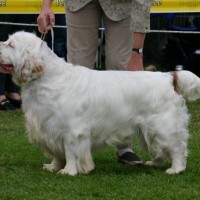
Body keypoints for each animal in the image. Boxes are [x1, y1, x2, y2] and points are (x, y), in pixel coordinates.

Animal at [0, 31, 200, 175]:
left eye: (11, 44)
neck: (48, 79)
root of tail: (169, 77)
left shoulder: (72, 131)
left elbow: (70, 152)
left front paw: (68, 171)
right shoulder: (50, 128)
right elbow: (58, 153)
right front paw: (54, 167)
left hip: (163, 126)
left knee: (177, 147)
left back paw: (176, 169)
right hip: (148, 129)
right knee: (158, 149)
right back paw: (153, 163)